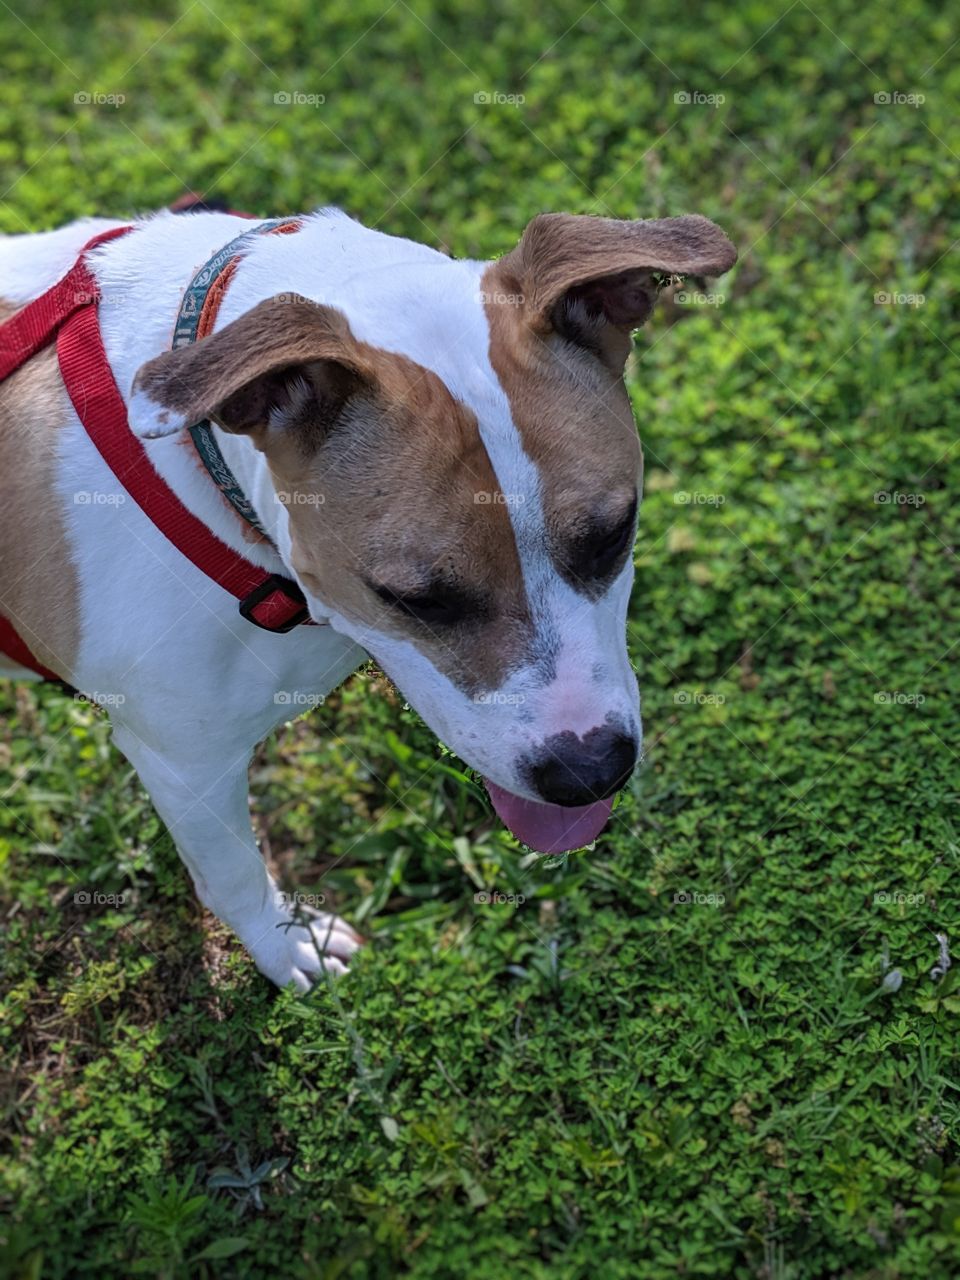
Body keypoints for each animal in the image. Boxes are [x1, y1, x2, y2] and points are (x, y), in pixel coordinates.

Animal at [0, 199, 737, 988]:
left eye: (612, 533)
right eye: (417, 599)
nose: (588, 771)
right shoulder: (182, 761)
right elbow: (232, 872)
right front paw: (288, 945)